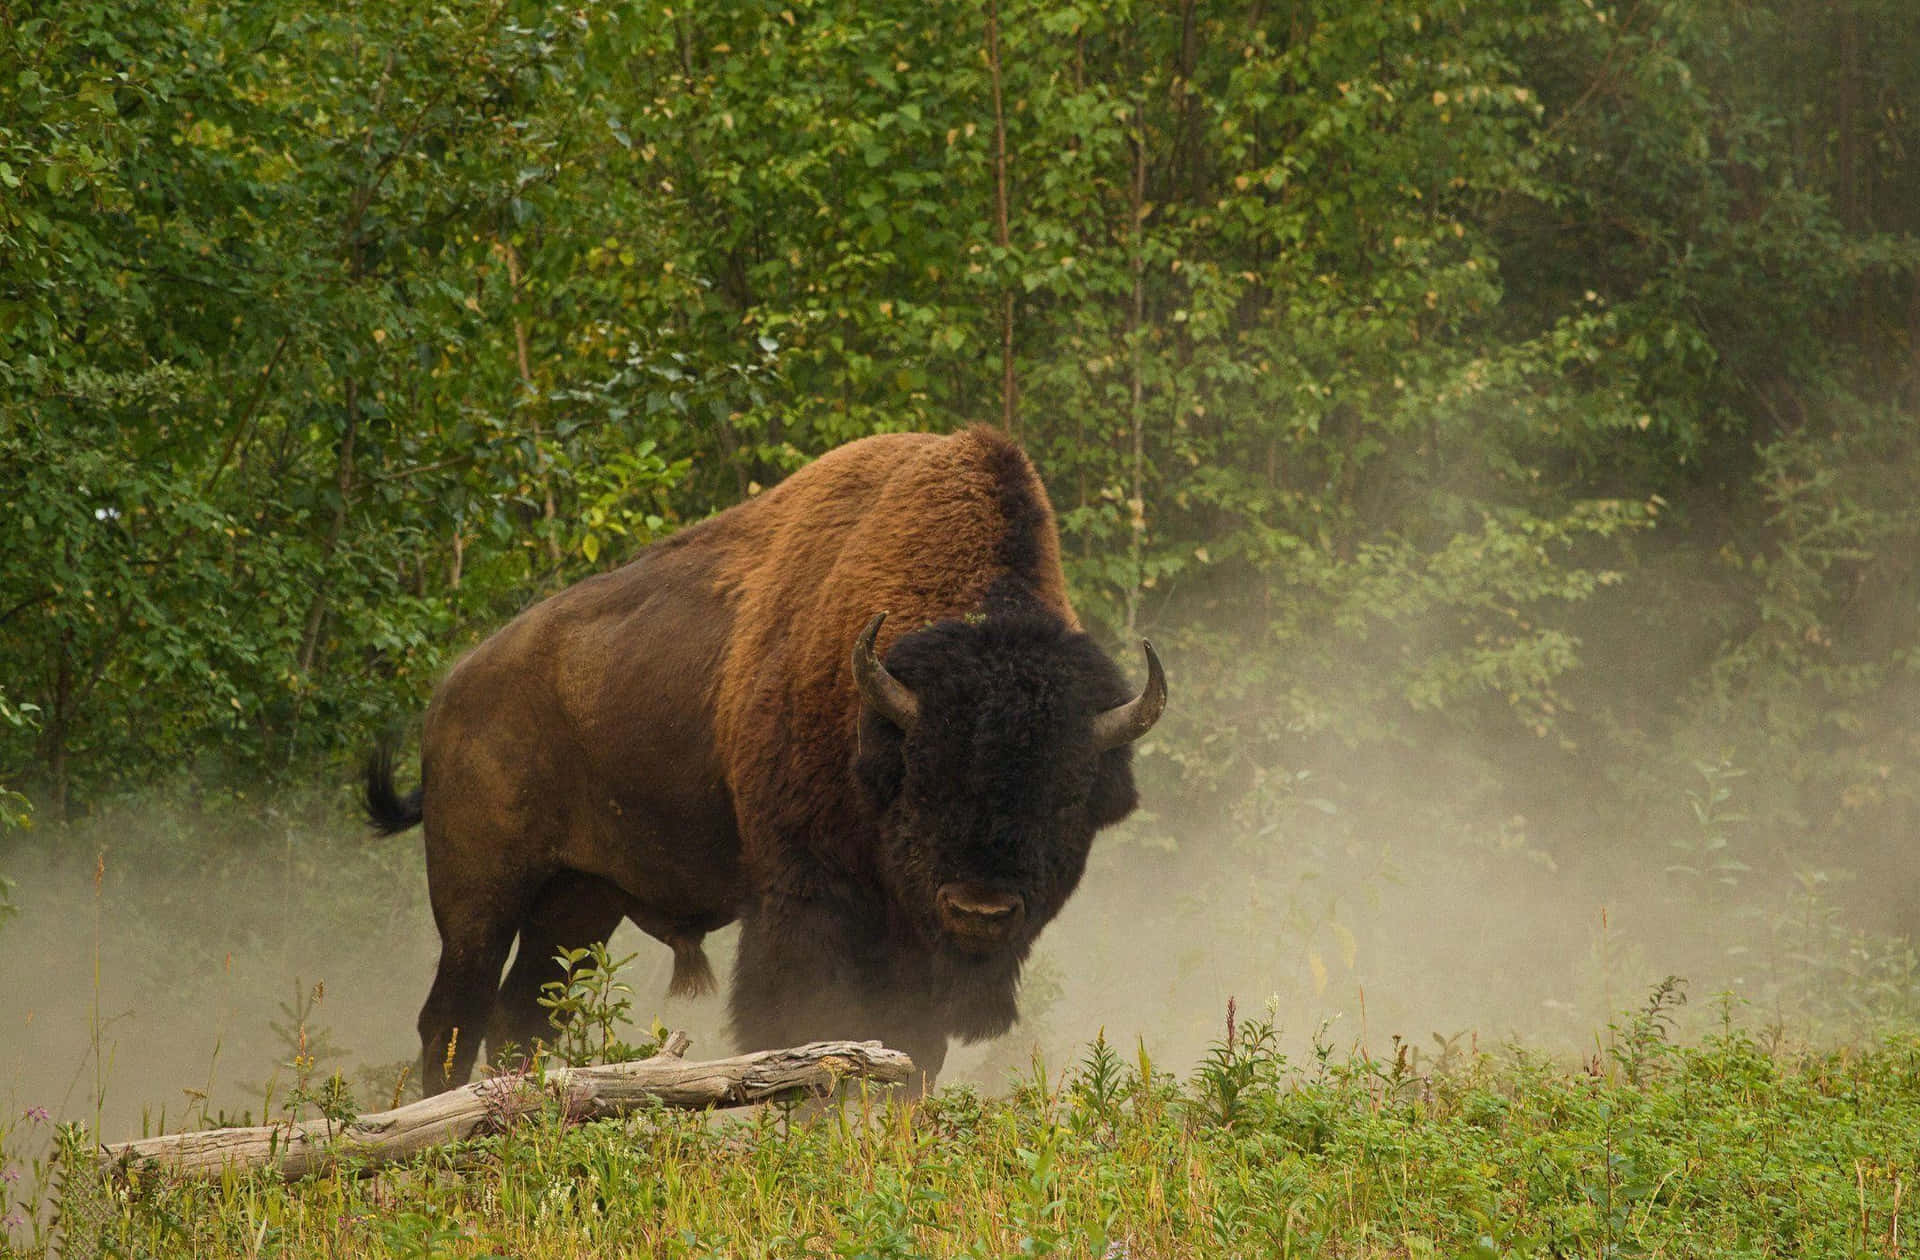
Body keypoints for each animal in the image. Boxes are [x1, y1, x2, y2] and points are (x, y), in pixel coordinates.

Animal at [364, 426, 1159, 1090]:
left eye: (1066, 795)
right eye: (923, 781)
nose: (980, 909)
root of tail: (451, 694)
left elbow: (910, 1046)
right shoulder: (805, 893)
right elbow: (805, 1025)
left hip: (579, 903)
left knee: (521, 1016)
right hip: (479, 898)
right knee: (452, 1017)